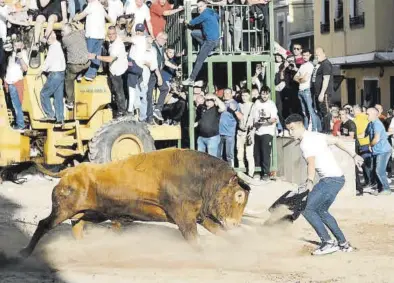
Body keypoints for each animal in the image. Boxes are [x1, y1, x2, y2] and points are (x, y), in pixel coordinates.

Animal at [20, 149, 249, 258]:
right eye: (239, 196)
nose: (236, 224)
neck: (200, 177)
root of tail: (69, 171)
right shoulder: (185, 219)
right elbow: (194, 240)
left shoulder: (200, 217)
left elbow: (220, 232)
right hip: (62, 210)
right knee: (44, 224)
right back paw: (25, 253)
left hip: (89, 213)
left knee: (77, 227)